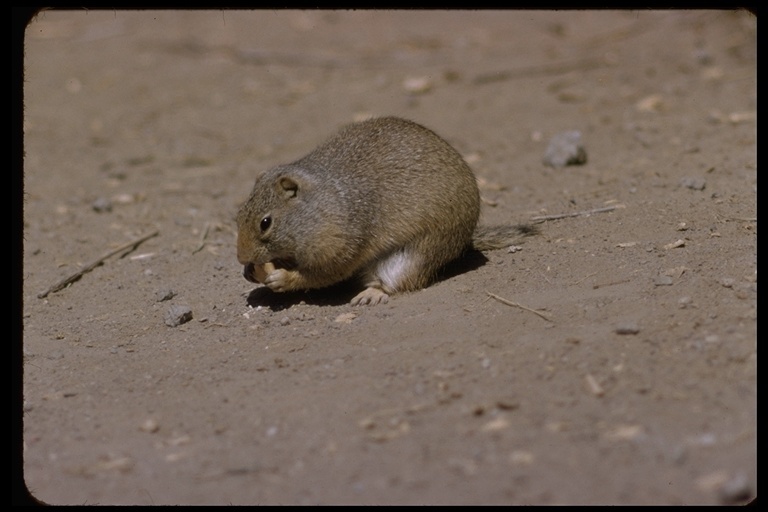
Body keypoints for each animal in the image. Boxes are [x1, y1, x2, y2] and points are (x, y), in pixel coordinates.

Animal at [236, 116, 536, 304]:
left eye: (265, 222)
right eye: (238, 214)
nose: (241, 258)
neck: (321, 206)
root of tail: (466, 241)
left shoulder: (340, 248)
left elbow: (320, 275)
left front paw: (282, 278)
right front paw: (251, 272)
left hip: (415, 256)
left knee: (399, 282)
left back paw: (372, 294)